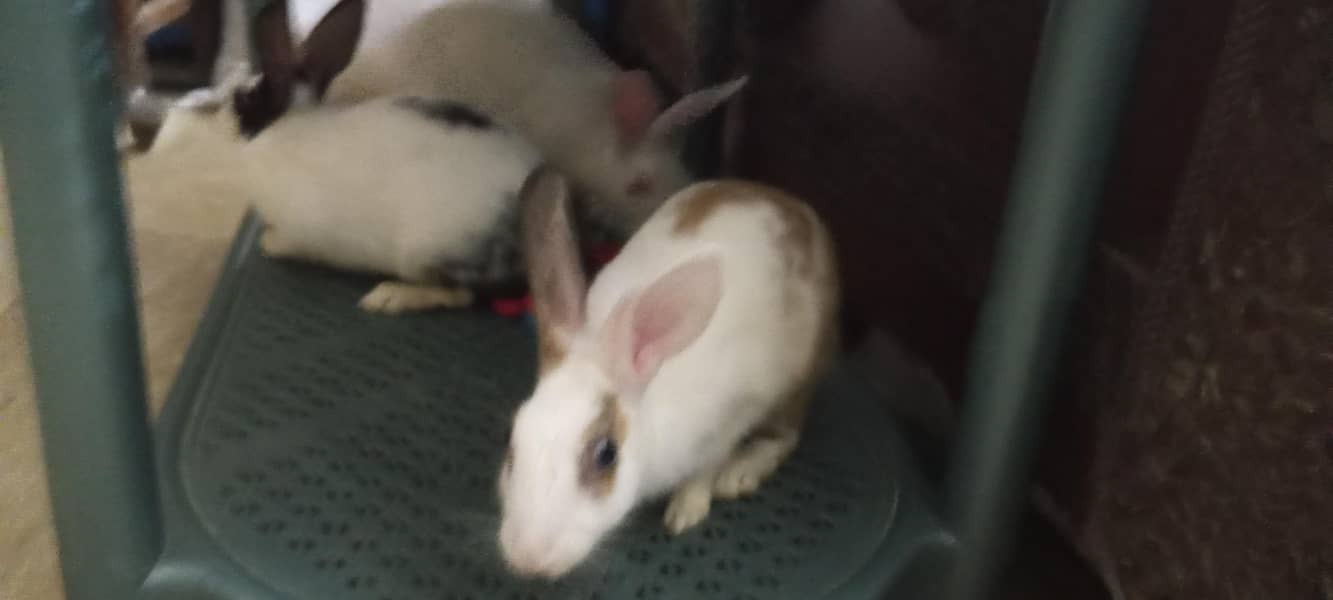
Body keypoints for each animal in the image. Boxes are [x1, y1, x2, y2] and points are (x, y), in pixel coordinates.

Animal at [208, 0, 545, 314]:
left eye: (244, 99)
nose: (220, 116)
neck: (280, 127)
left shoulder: (301, 231)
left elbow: (288, 243)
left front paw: (268, 243)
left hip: (425, 252)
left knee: (462, 295)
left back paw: (389, 297)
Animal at [496, 167, 840, 579]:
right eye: (510, 442)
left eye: (606, 454)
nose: (527, 559)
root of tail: (799, 208)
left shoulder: (727, 422)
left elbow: (705, 469)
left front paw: (686, 511)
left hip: (794, 386)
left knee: (786, 437)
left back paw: (739, 475)